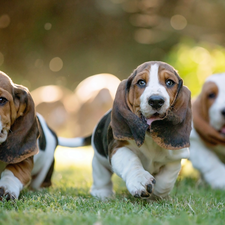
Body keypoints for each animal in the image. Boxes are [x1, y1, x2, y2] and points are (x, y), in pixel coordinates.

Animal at [89, 60, 192, 200]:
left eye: (170, 82)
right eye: (141, 82)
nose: (156, 101)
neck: (150, 137)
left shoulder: (175, 158)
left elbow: (166, 180)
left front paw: (156, 194)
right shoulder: (118, 147)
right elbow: (131, 161)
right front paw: (140, 181)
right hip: (99, 159)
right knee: (101, 175)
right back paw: (102, 193)